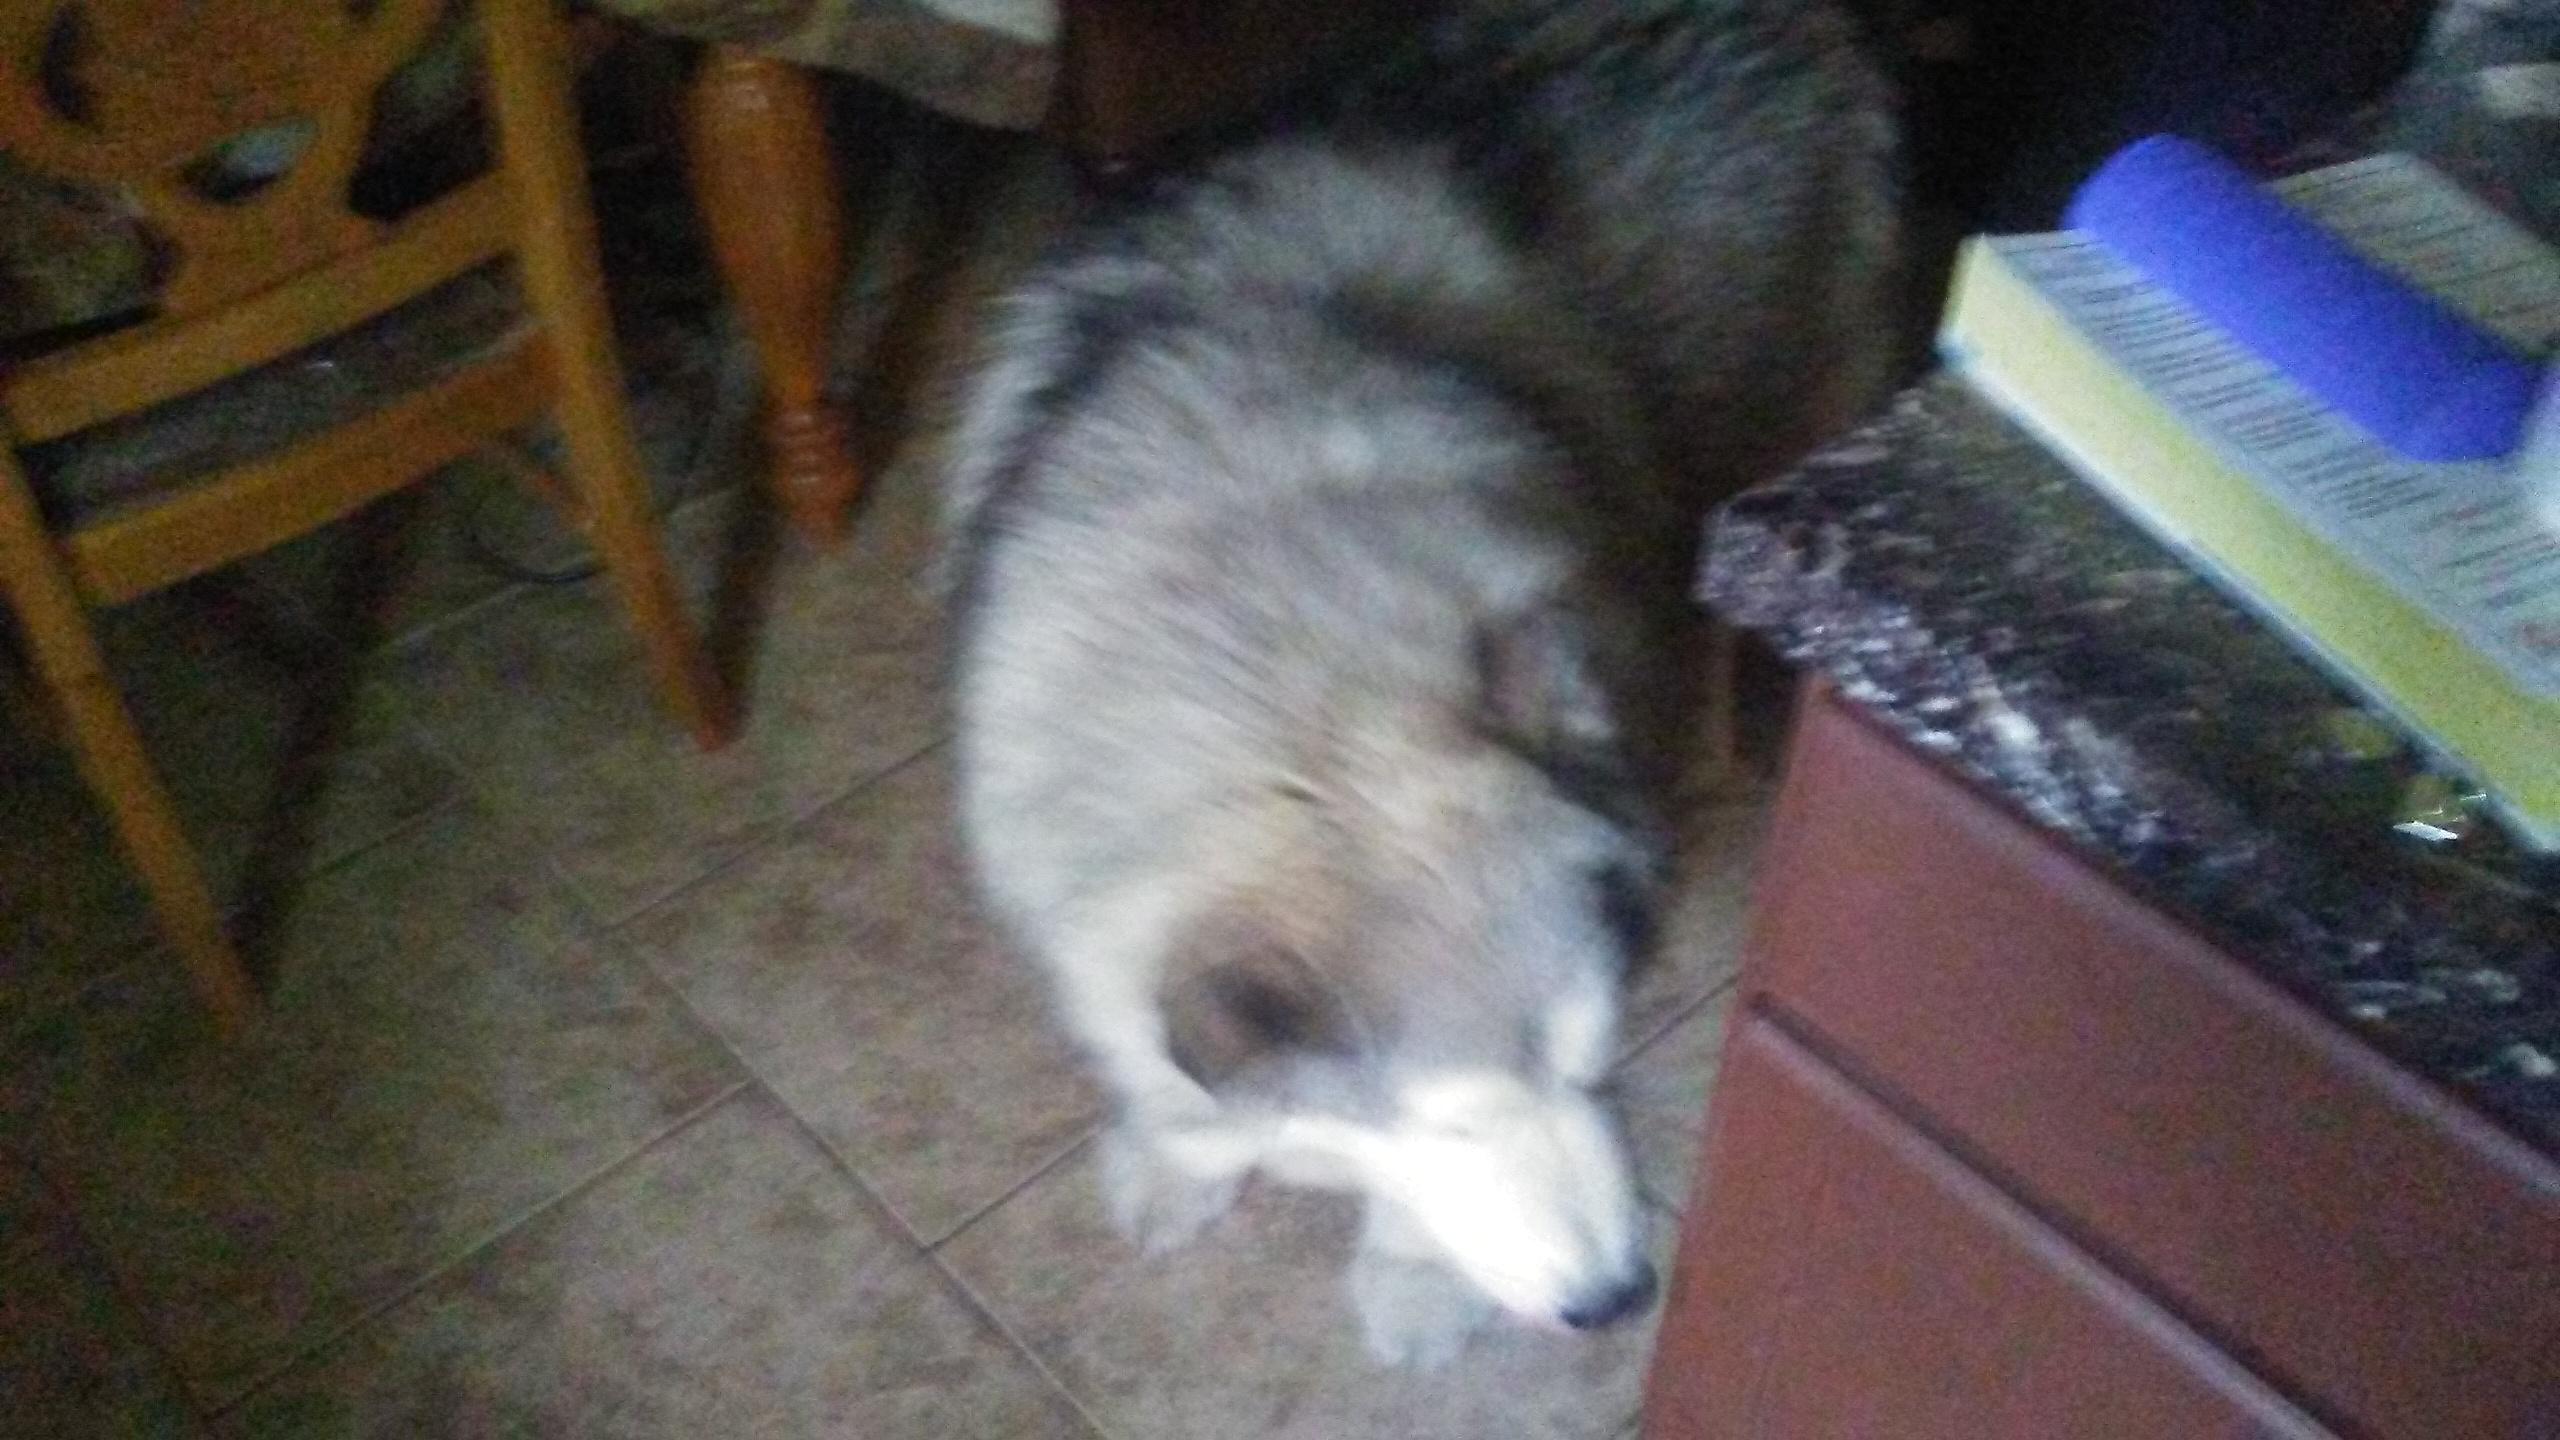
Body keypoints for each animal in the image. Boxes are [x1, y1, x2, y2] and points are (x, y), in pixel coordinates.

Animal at [936, 0, 1897, 1367]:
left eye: (1594, 1060)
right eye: (1452, 1120)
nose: (1618, 1301)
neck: (1315, 706)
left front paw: (1411, 1279)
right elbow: (1174, 1075)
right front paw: (1180, 1162)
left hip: (1764, 449)